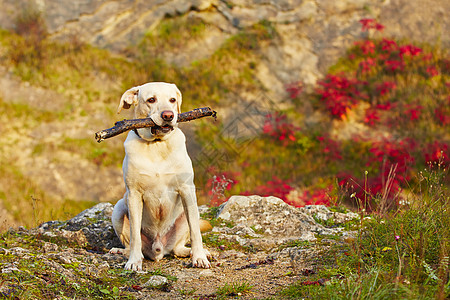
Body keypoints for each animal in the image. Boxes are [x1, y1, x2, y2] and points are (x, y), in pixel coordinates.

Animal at [110, 81, 213, 270]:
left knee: (179, 246)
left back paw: (196, 252)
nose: (168, 115)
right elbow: (134, 235)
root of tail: (159, 250)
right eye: (151, 100)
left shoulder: (187, 190)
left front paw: (200, 257)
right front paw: (133, 262)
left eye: (172, 100)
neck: (157, 145)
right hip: (119, 208)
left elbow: (196, 231)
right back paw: (122, 252)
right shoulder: (134, 194)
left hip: (188, 213)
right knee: (130, 244)